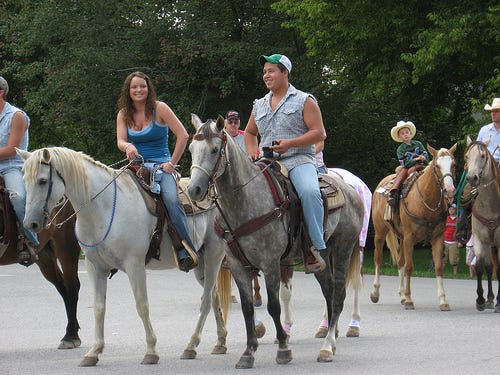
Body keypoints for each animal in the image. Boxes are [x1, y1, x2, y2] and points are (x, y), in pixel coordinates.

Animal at [17, 147, 231, 368]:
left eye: (42, 181)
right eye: (24, 180)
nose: (30, 223)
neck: (103, 209)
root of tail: (213, 194)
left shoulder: (134, 265)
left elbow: (142, 305)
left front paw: (151, 351)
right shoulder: (96, 268)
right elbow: (99, 308)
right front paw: (94, 352)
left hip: (214, 256)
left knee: (206, 299)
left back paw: (191, 345)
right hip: (201, 264)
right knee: (214, 295)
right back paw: (219, 342)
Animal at [368, 144, 458, 312]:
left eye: (453, 164)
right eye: (437, 166)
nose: (449, 190)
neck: (426, 200)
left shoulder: (437, 238)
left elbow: (438, 267)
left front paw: (443, 301)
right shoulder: (410, 238)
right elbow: (409, 266)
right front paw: (409, 299)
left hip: (402, 238)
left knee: (400, 262)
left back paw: (402, 295)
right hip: (380, 233)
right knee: (378, 259)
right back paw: (375, 293)